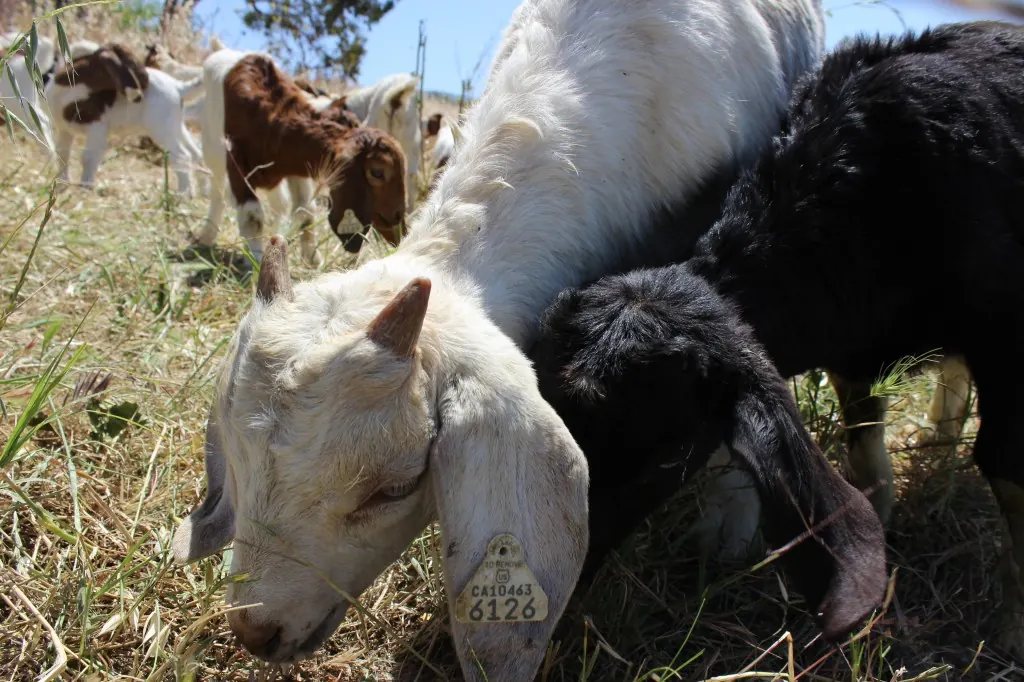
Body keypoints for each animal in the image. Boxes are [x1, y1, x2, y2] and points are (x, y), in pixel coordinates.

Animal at [45, 43, 205, 194]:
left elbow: (88, 157)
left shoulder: (97, 127)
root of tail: (180, 87)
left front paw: (85, 189)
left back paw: (182, 195)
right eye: (133, 63)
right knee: (194, 153)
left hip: (161, 127)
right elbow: (62, 154)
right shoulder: (64, 129)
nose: (144, 85)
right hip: (174, 125)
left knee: (182, 156)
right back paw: (193, 193)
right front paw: (61, 185)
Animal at [193, 49, 406, 266]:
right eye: (377, 172)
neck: (272, 121)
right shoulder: (236, 161)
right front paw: (257, 261)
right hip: (212, 149)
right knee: (217, 190)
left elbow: (305, 211)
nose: (399, 223)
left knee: (279, 203)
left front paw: (312, 259)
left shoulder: (296, 167)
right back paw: (207, 235)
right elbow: (252, 215)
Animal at [534, 20, 1024, 656]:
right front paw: (882, 514)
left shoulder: (1006, 332)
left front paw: (1014, 625)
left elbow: (1004, 462)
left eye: (667, 460)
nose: (566, 583)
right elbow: (864, 440)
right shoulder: (853, 351)